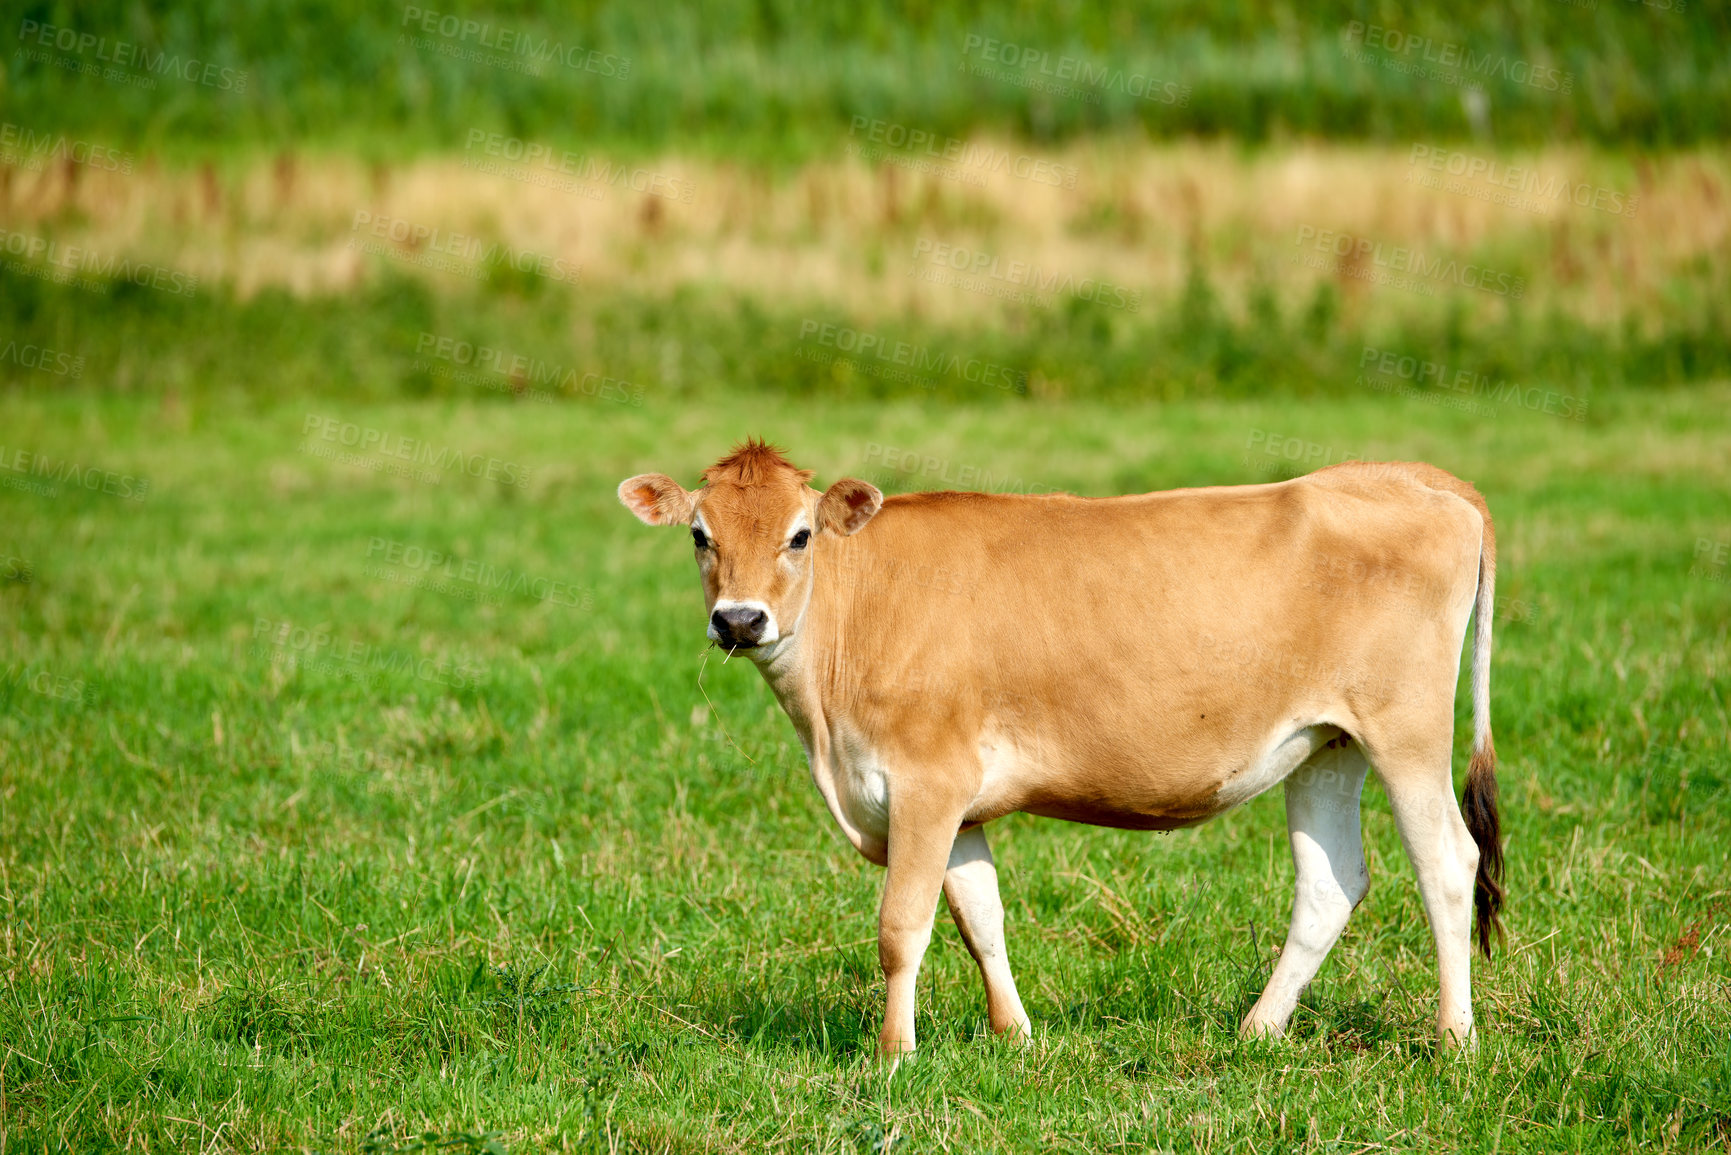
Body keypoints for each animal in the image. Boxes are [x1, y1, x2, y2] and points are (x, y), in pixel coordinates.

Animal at [619, 443, 1502, 1066]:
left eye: (799, 536)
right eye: (700, 536)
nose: (740, 620)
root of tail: (1406, 476)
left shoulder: (925, 781)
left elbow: (903, 924)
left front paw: (893, 1054)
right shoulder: (955, 801)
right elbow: (980, 916)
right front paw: (1014, 1034)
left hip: (1406, 728)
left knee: (1447, 861)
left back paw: (1453, 1038)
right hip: (1328, 743)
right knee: (1331, 883)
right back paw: (1257, 1029)